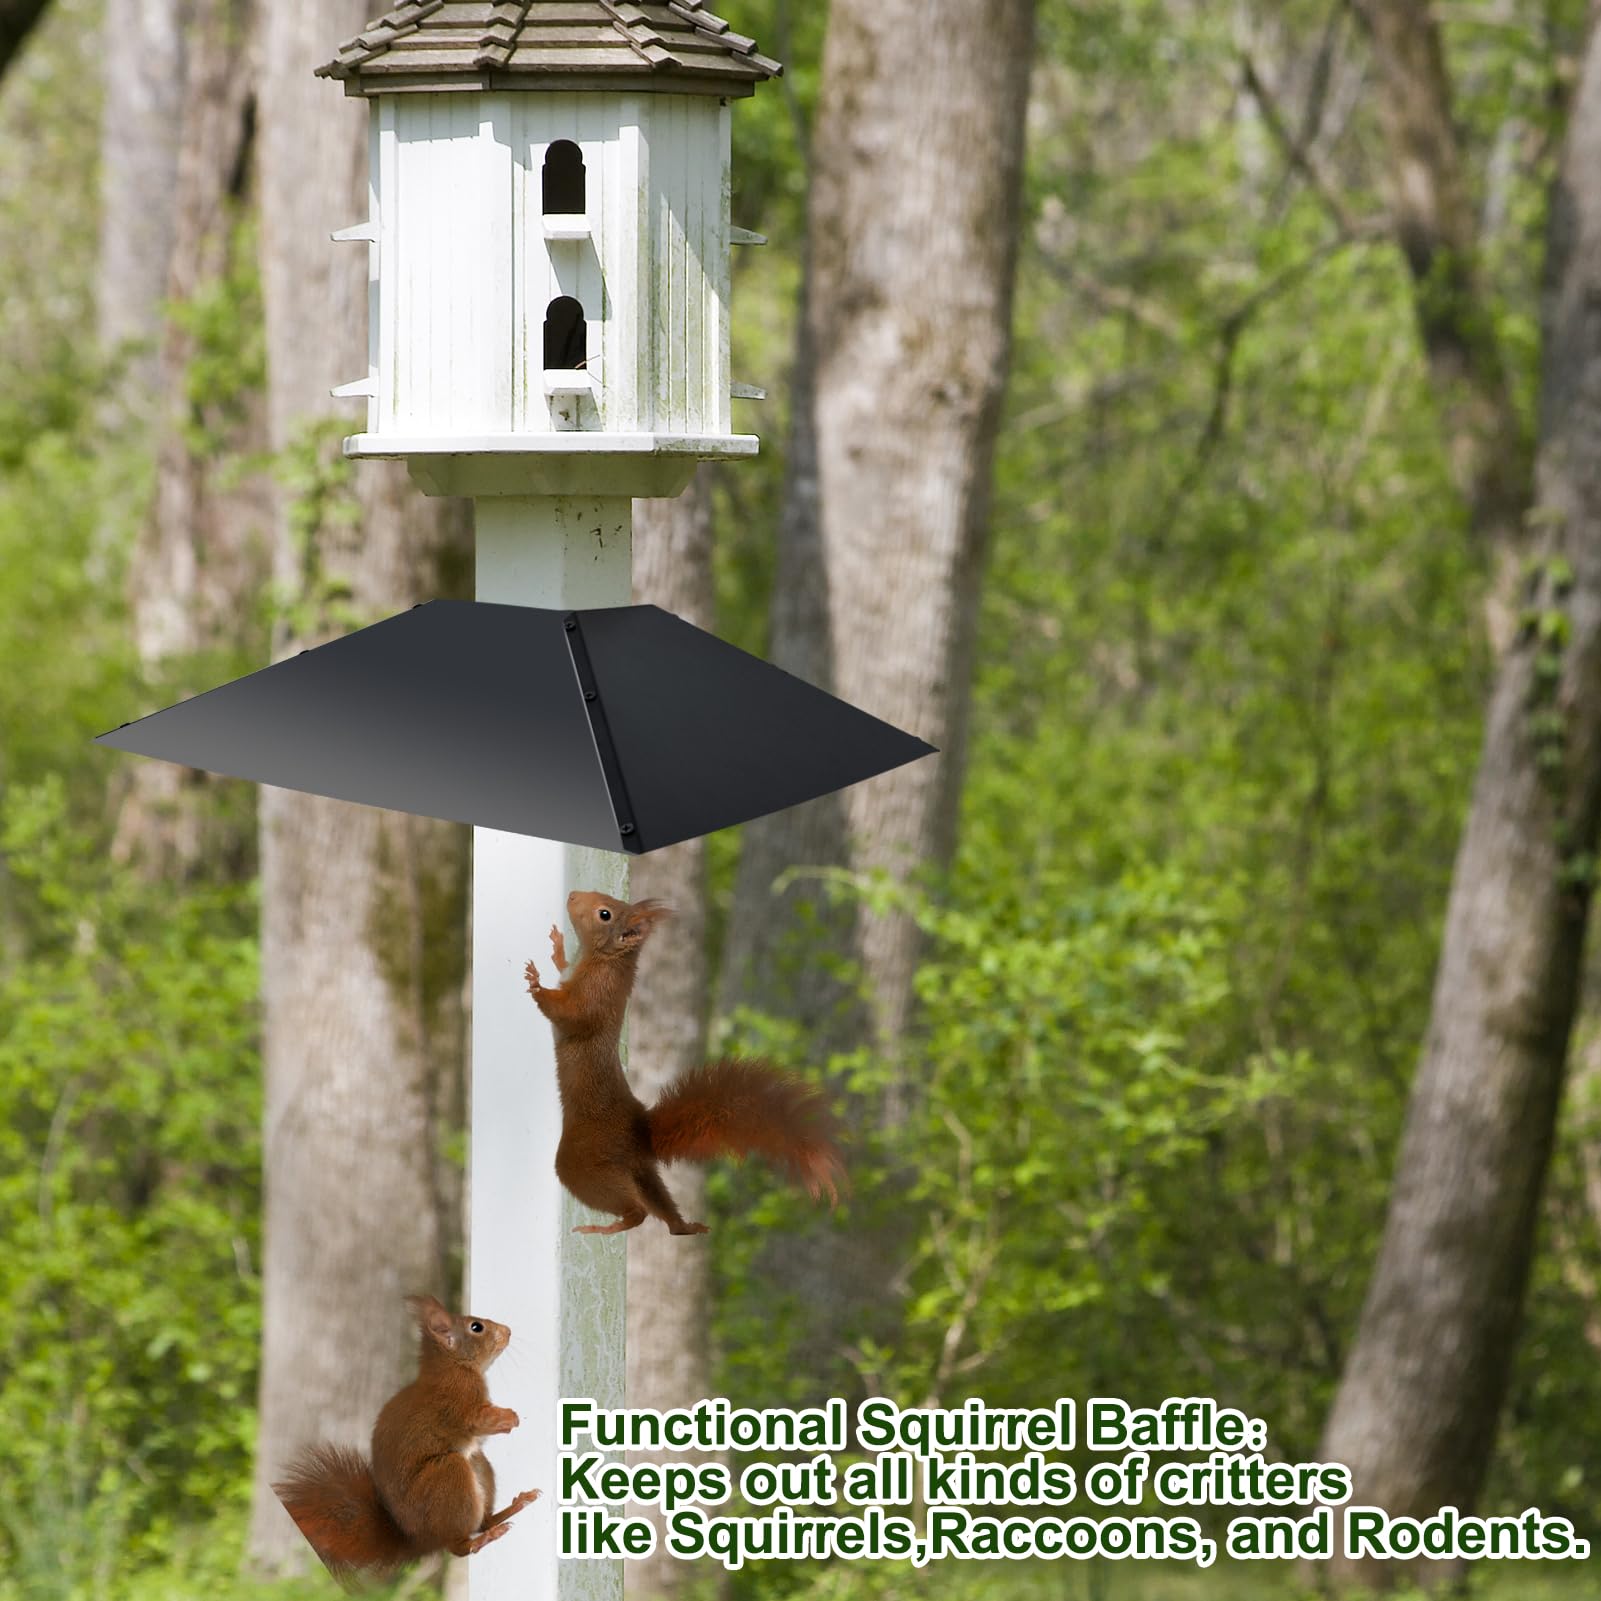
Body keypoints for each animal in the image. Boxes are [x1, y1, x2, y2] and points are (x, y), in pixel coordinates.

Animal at [273, 1295, 540, 1587]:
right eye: (476, 1327)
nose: (508, 1331)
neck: (453, 1365)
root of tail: (422, 1540)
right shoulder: (457, 1402)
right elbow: (476, 1421)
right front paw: (508, 1417)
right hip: (448, 1474)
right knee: (458, 1546)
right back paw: (483, 1538)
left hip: (478, 1464)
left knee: (482, 1520)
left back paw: (514, 1507)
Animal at [524, 890, 846, 1236]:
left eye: (604, 913)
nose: (572, 895)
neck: (603, 959)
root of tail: (640, 1133)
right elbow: (563, 969)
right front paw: (558, 949)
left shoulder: (596, 997)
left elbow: (570, 1016)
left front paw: (537, 985)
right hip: (642, 1173)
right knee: (662, 1211)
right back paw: (686, 1227)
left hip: (583, 1161)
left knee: (637, 1211)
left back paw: (605, 1228)